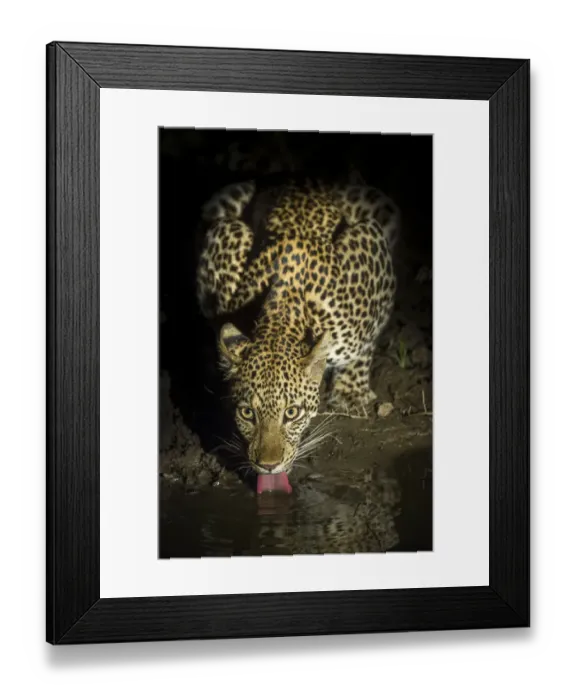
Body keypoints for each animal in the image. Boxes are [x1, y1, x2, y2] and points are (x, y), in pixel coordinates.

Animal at [196, 174, 400, 481]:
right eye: (247, 414)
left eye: (292, 413)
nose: (268, 466)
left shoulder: (373, 250)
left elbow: (366, 342)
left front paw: (351, 394)